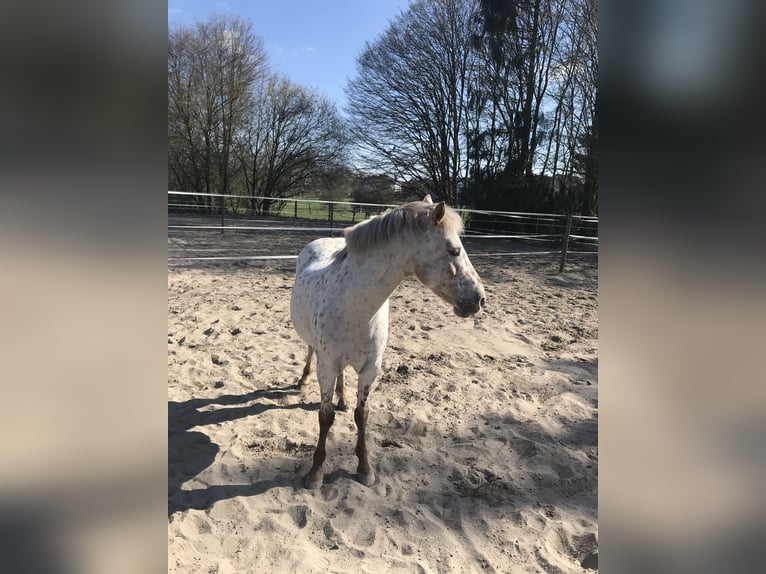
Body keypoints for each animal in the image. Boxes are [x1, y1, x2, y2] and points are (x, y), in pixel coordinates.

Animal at [290, 197, 486, 490]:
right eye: (454, 250)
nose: (479, 299)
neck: (355, 305)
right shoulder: (327, 367)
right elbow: (325, 417)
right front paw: (315, 473)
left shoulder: (371, 368)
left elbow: (362, 415)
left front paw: (365, 469)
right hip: (318, 351)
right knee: (310, 350)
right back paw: (303, 379)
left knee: (343, 379)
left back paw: (343, 397)